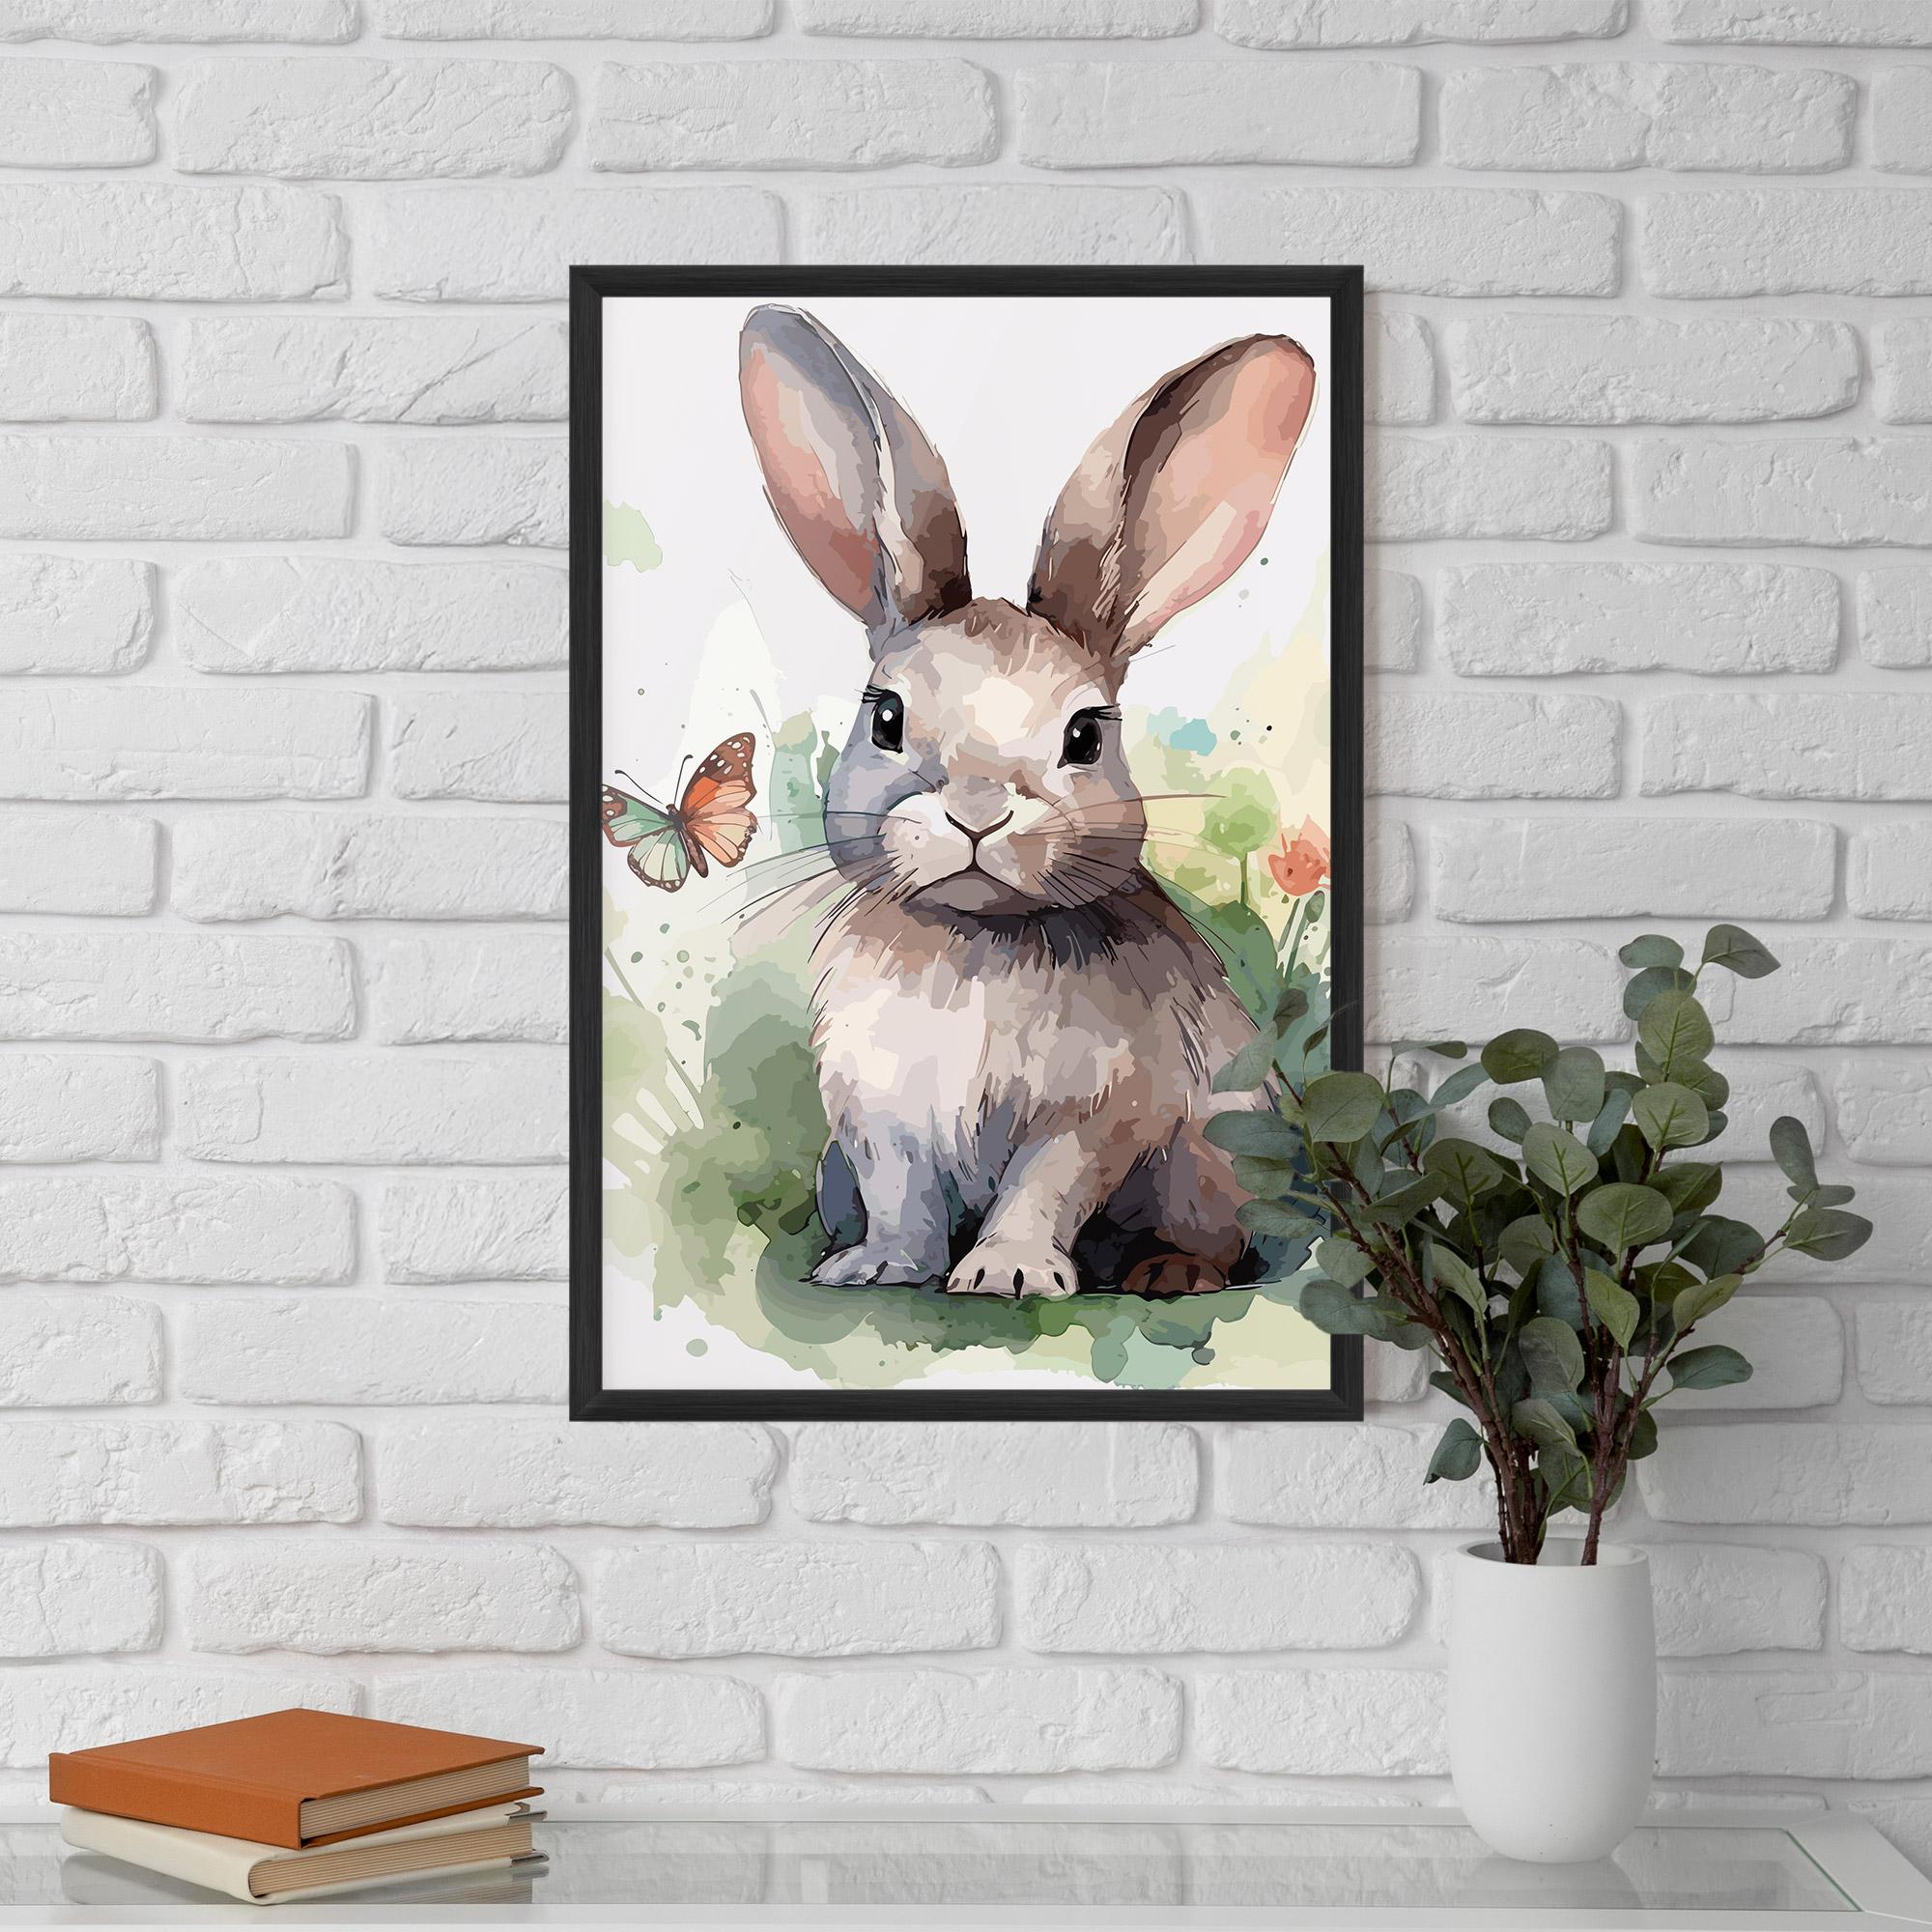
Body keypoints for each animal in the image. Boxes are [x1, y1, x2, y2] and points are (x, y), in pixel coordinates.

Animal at [738, 303, 1318, 1299]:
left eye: (1085, 736)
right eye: (885, 718)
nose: (978, 813)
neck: (978, 940)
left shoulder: (1091, 1116)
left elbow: (1042, 1189)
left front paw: (1006, 1275)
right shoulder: (880, 1121)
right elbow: (904, 1201)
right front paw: (879, 1269)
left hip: (1216, 1159)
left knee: (1220, 1239)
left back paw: (1166, 1273)